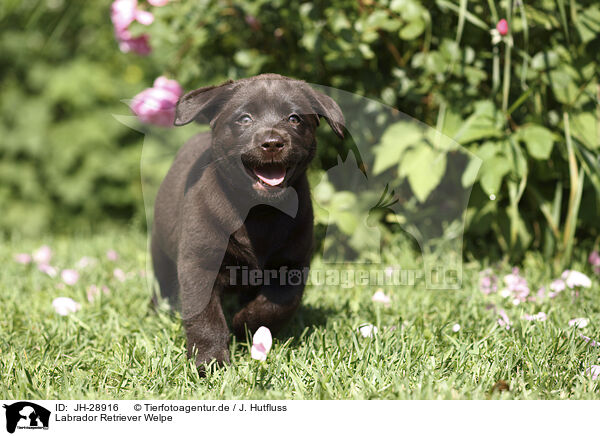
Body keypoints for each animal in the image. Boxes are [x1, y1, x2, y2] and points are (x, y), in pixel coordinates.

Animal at [152, 73, 344, 370]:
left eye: (294, 118)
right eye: (245, 118)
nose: (273, 143)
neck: (258, 211)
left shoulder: (292, 263)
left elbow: (277, 304)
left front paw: (245, 324)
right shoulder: (200, 262)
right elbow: (205, 318)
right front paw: (210, 362)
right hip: (160, 251)